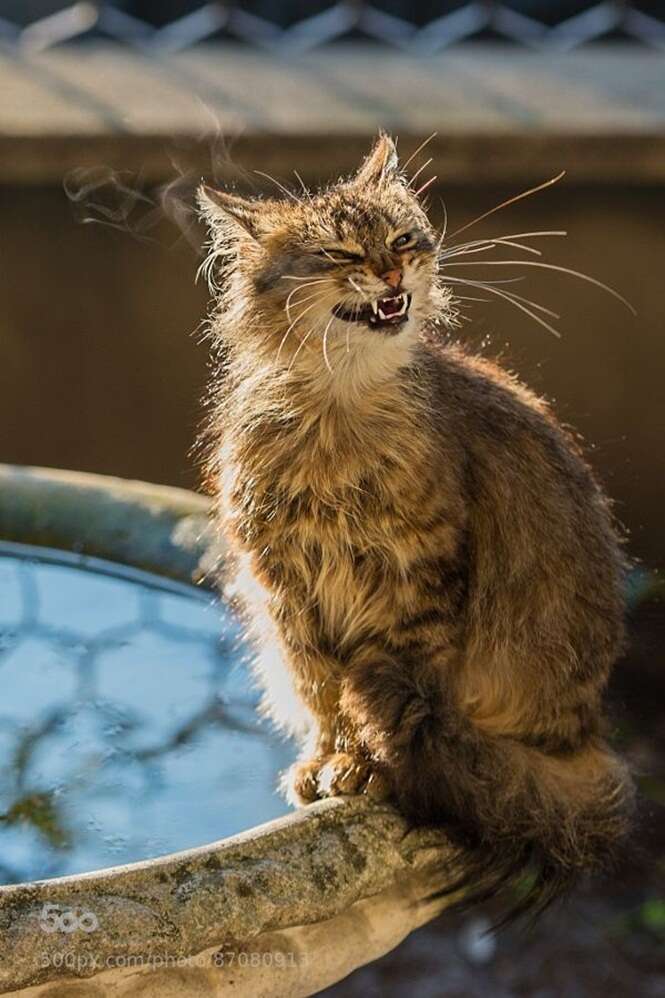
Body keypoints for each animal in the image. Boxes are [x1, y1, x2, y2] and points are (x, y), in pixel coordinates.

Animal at [196, 135, 632, 920]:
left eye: (401, 240)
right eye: (340, 253)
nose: (393, 272)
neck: (335, 410)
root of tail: (585, 736)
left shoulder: (415, 579)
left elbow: (379, 698)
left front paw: (362, 768)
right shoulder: (286, 592)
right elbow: (320, 693)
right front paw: (323, 761)